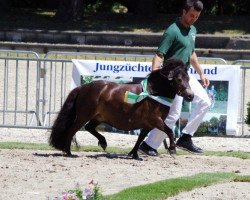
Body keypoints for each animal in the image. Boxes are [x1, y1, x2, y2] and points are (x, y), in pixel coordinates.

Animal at [48, 57, 193, 159]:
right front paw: (172, 149)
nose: (190, 95)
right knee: (72, 130)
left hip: (99, 116)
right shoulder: (155, 120)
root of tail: (83, 87)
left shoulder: (148, 124)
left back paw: (103, 142)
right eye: (179, 79)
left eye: (188, 78)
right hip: (84, 115)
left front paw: (134, 153)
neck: (154, 93)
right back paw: (68, 151)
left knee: (89, 127)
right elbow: (169, 131)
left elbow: (141, 137)